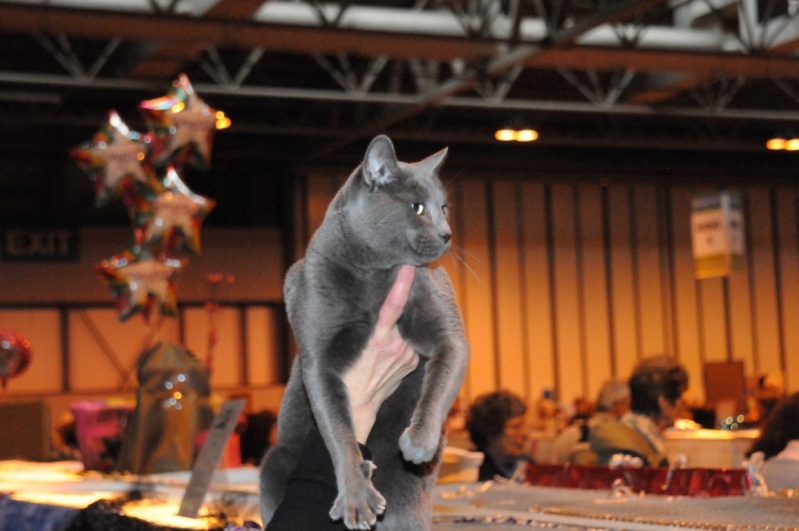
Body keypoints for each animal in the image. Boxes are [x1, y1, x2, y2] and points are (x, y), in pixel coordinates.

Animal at [260, 135, 468, 528]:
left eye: (445, 207)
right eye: (418, 207)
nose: (447, 234)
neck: (375, 273)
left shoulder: (442, 311)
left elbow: (442, 377)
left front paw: (419, 442)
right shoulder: (317, 358)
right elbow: (339, 430)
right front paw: (357, 497)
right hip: (272, 463)